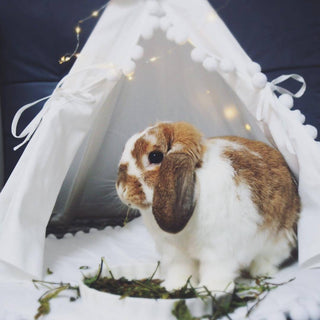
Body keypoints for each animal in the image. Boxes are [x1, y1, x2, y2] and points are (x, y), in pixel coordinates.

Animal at [115, 121, 300, 294]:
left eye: (155, 156)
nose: (121, 189)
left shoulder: (218, 250)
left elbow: (215, 271)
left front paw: (209, 290)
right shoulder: (175, 252)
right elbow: (180, 270)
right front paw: (175, 287)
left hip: (277, 241)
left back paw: (260, 271)